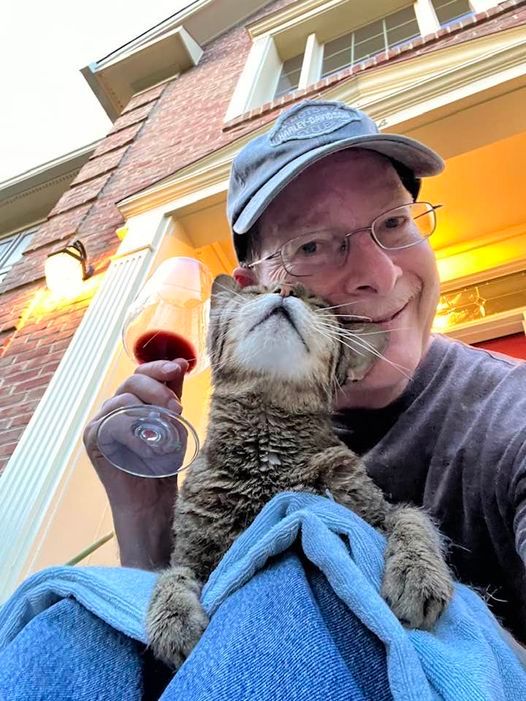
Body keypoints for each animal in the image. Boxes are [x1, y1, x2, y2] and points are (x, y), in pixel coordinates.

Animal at [146, 274, 456, 668]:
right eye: (257, 291)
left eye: (319, 304)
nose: (285, 290)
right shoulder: (192, 553)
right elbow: (170, 575)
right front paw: (172, 618)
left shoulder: (377, 512)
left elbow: (413, 519)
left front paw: (417, 574)